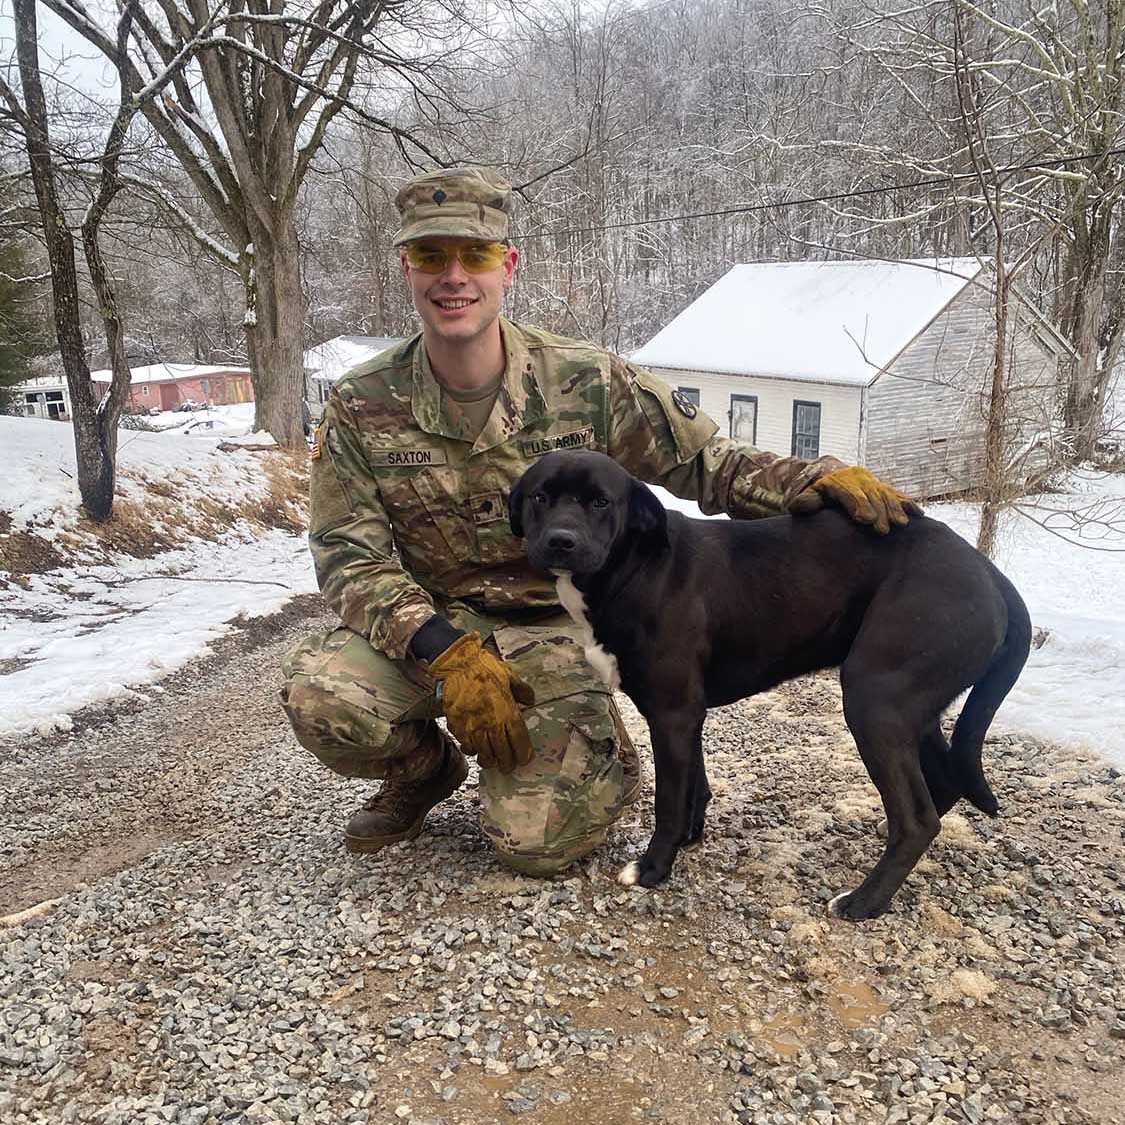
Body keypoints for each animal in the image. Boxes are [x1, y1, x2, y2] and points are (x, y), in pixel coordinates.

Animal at [510, 450, 1030, 922]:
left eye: (601, 502)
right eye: (540, 497)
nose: (561, 541)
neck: (636, 568)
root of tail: (990, 572)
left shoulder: (672, 712)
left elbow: (669, 801)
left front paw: (654, 868)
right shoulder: (687, 713)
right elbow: (694, 784)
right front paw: (690, 839)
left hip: (875, 700)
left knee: (917, 819)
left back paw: (863, 903)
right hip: (909, 706)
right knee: (941, 784)